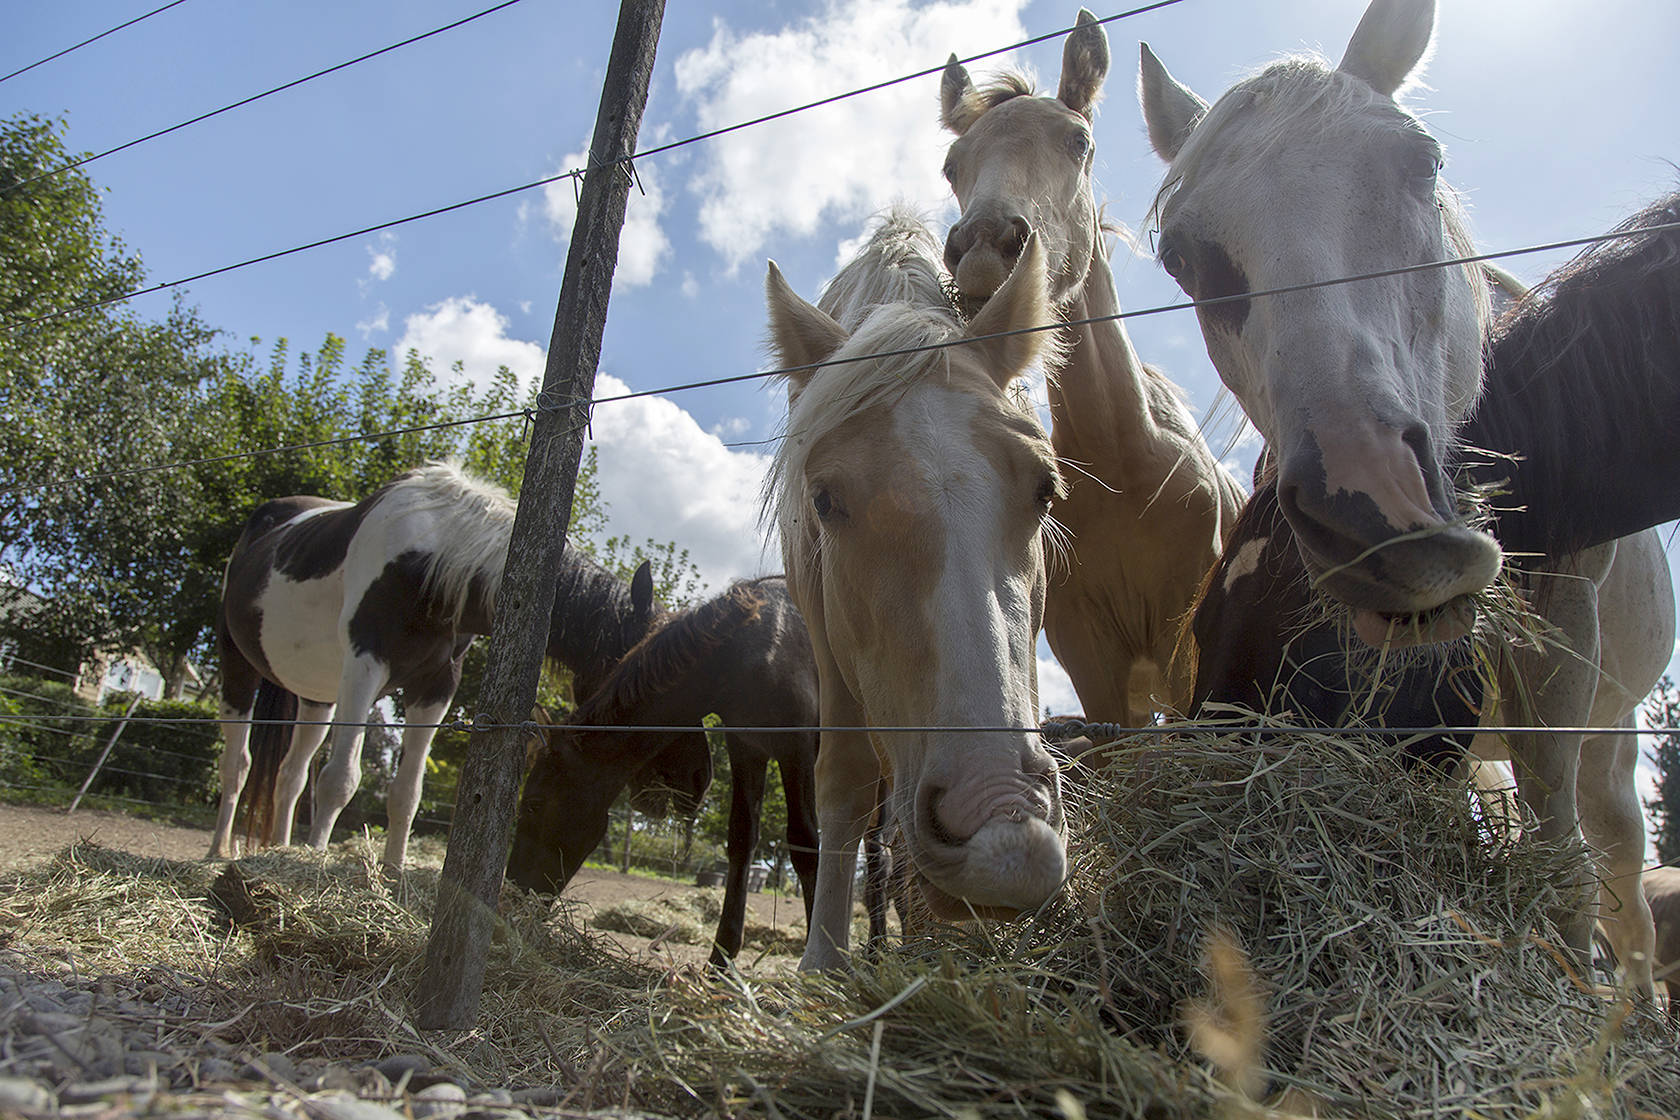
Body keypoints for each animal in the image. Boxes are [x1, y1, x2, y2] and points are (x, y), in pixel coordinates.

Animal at [209, 460, 669, 872]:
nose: (654, 788)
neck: (434, 558)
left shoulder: (435, 686)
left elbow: (407, 792)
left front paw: (393, 871)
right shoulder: (363, 664)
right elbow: (340, 779)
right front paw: (316, 862)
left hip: (316, 696)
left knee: (290, 775)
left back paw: (278, 849)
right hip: (238, 664)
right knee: (237, 765)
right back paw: (219, 851)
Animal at [508, 576, 820, 968]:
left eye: (532, 805)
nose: (513, 893)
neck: (760, 645)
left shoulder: (797, 748)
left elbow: (805, 844)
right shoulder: (747, 748)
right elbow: (741, 840)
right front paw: (719, 962)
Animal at [763, 207, 1066, 969]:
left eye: (1045, 488)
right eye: (824, 500)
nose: (1000, 820)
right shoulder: (822, 625)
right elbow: (843, 779)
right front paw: (823, 962)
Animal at [938, 11, 1246, 728]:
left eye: (1079, 141)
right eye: (952, 166)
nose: (985, 247)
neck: (1124, 464)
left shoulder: (1183, 637)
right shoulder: (1091, 656)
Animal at [1140, 0, 1680, 986]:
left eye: (1422, 163)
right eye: (1182, 257)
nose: (1375, 509)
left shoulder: (1561, 651)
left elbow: (1565, 879)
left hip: (1612, 743)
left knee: (1624, 893)